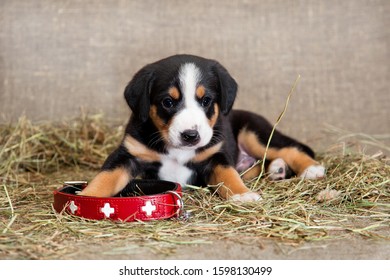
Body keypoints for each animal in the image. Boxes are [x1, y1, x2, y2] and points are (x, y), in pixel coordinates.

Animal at [80, 54, 326, 201]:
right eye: (167, 102)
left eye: (206, 100)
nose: (190, 135)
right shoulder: (128, 154)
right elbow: (105, 177)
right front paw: (86, 197)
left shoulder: (215, 156)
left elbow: (229, 175)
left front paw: (242, 195)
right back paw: (277, 169)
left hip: (253, 133)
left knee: (287, 149)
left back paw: (309, 168)